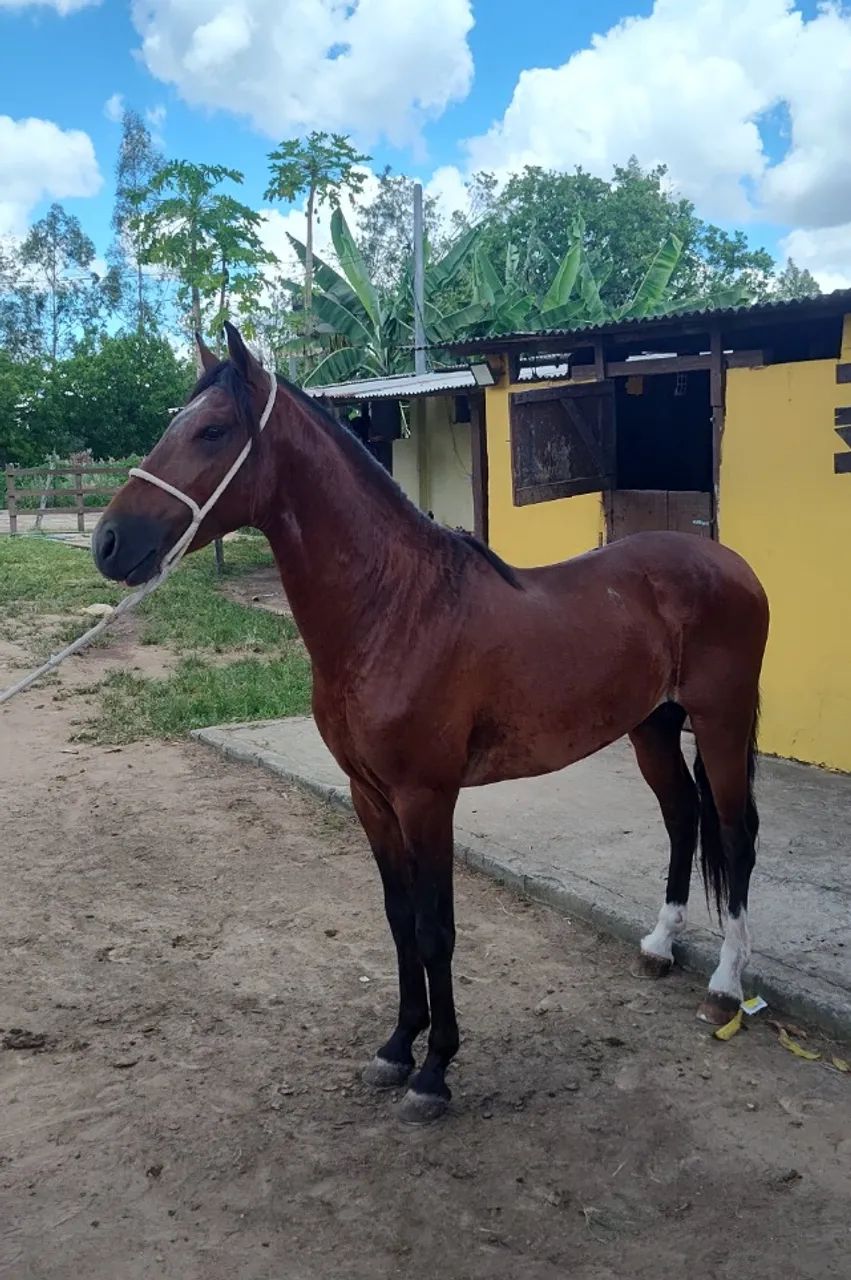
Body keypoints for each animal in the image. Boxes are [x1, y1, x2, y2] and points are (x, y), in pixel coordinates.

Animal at [93, 323, 769, 1125]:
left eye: (213, 431)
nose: (107, 543)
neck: (393, 610)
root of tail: (724, 559)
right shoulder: (370, 798)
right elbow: (397, 920)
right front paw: (396, 1047)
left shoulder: (426, 799)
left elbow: (434, 928)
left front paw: (435, 1070)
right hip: (652, 728)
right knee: (680, 817)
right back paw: (661, 945)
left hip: (720, 720)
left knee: (733, 830)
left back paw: (725, 985)